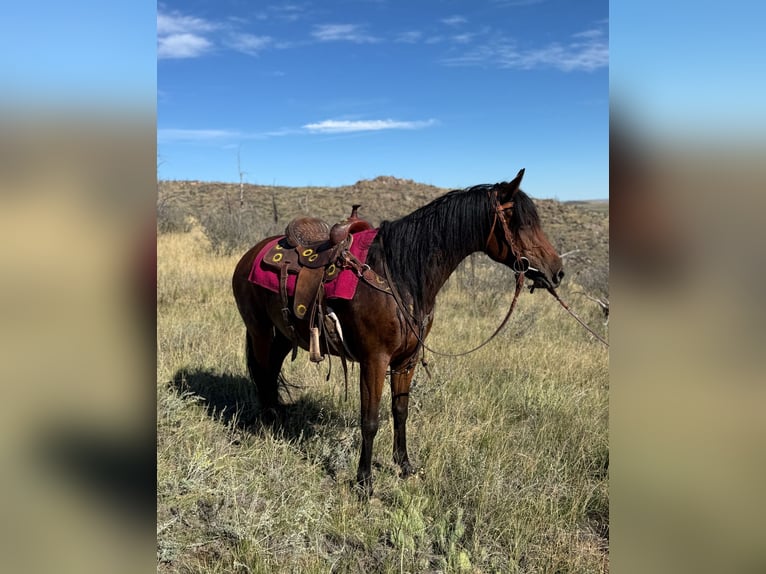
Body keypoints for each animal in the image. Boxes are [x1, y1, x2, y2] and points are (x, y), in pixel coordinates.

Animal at [232, 169, 564, 495]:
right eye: (521, 223)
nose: (556, 272)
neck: (401, 275)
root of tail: (250, 254)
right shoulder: (374, 360)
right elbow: (370, 420)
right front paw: (364, 482)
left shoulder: (407, 359)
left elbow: (400, 411)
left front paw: (403, 465)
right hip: (260, 332)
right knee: (263, 374)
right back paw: (267, 429)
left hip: (283, 335)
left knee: (271, 373)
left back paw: (276, 422)